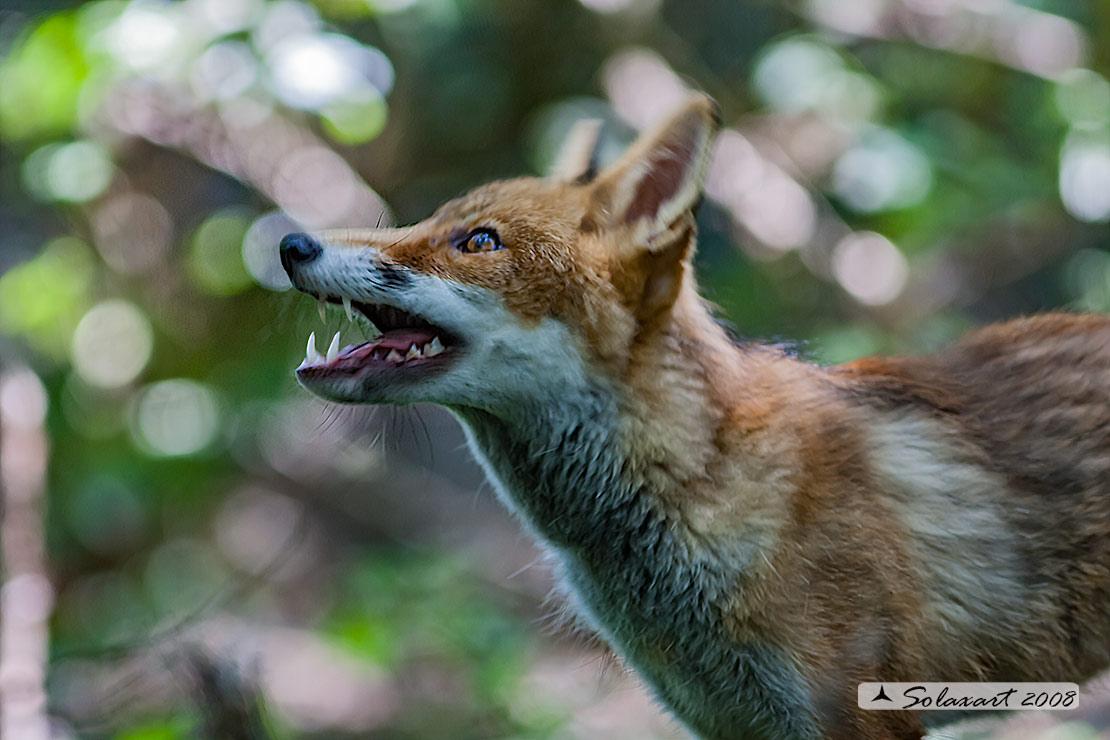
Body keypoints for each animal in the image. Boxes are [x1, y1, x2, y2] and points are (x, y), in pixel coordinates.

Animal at [279, 95, 1110, 736]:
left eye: (478, 241)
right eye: (432, 220)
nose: (289, 241)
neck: (702, 483)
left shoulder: (857, 715)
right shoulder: (728, 721)